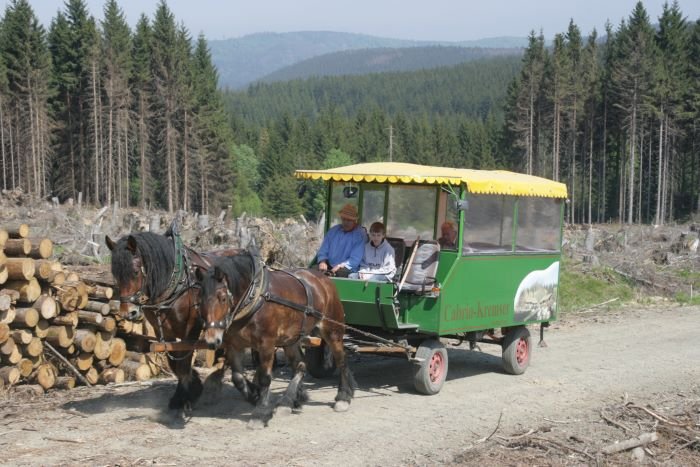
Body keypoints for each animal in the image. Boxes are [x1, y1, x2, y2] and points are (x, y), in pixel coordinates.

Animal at [105, 232, 239, 412]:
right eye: (115, 274)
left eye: (135, 272)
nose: (129, 313)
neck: (176, 284)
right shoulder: (164, 331)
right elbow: (174, 363)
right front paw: (186, 390)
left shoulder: (191, 329)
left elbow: (183, 363)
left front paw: (188, 396)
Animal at [194, 252, 356, 428]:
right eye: (200, 300)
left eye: (223, 298)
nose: (212, 340)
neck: (255, 297)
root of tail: (324, 278)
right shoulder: (234, 345)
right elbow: (237, 377)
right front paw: (254, 396)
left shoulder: (267, 344)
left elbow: (265, 378)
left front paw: (260, 413)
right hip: (291, 339)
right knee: (300, 365)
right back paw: (287, 402)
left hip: (333, 331)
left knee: (341, 360)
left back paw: (343, 398)